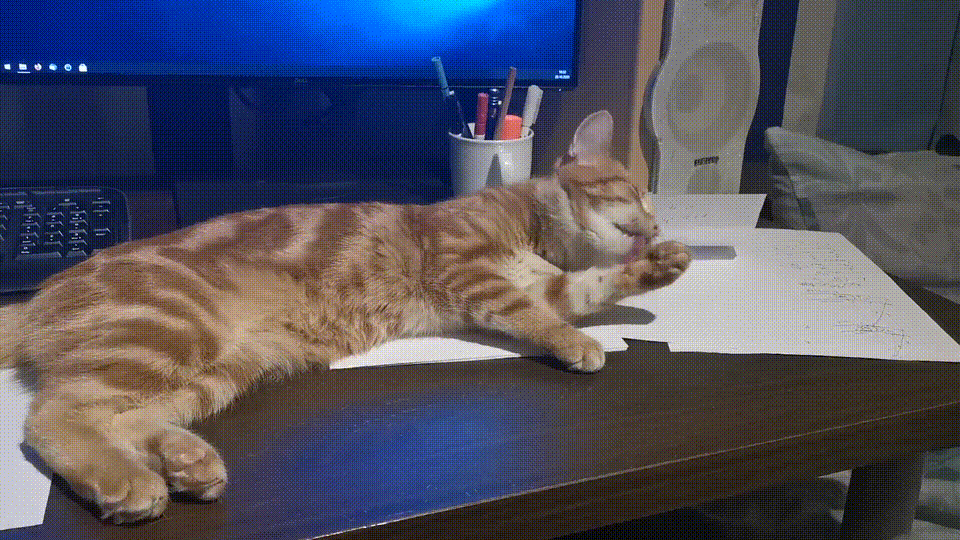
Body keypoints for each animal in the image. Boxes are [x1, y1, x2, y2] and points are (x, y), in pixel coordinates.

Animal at [0, 110, 690, 523]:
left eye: (652, 205)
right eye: (634, 192)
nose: (656, 226)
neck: (533, 234)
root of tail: (34, 298)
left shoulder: (538, 285)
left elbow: (587, 288)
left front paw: (661, 268)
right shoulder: (471, 273)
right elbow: (542, 315)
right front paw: (577, 341)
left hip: (219, 368)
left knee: (124, 417)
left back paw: (182, 462)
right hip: (165, 334)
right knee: (51, 419)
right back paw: (127, 482)